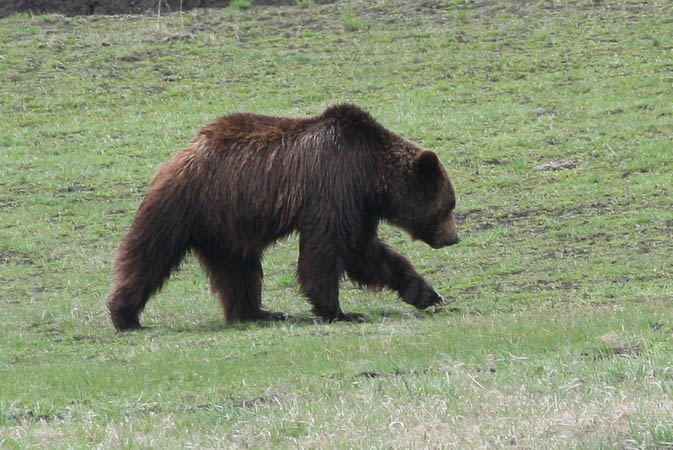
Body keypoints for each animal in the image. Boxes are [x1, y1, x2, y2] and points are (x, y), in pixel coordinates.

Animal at [107, 104, 460, 330]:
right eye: (449, 205)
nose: (453, 238)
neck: (370, 174)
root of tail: (179, 155)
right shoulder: (332, 188)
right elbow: (325, 251)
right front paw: (338, 311)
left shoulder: (358, 206)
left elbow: (365, 252)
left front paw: (424, 292)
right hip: (185, 204)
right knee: (150, 254)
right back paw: (125, 315)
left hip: (226, 225)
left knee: (238, 269)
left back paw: (258, 312)